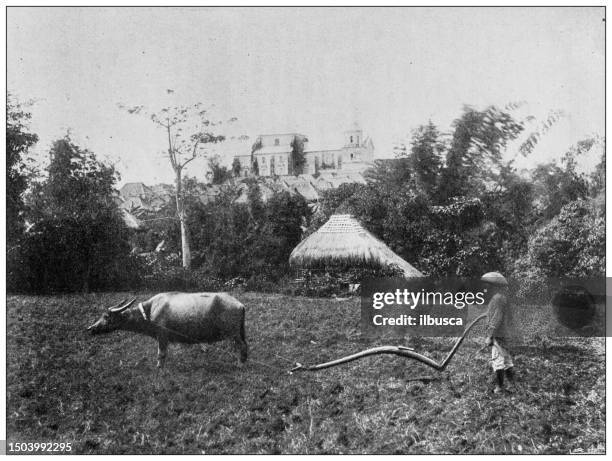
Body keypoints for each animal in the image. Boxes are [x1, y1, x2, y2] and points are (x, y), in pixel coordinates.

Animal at [86, 292, 249, 368]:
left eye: (106, 316)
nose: (90, 328)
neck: (150, 310)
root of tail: (240, 304)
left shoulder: (162, 336)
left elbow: (161, 354)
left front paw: (159, 367)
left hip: (233, 334)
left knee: (241, 346)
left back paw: (240, 364)